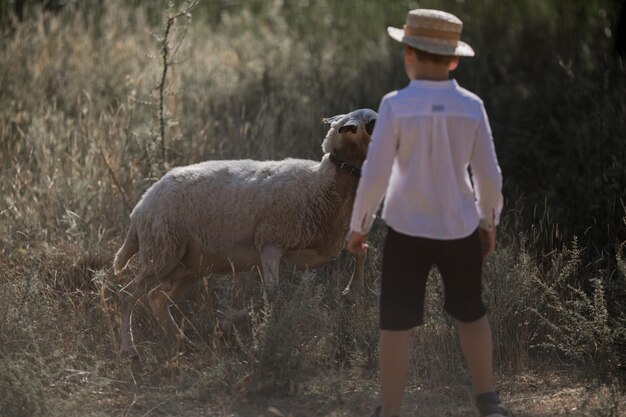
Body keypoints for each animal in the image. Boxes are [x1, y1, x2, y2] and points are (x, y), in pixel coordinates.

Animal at [112, 107, 376, 352]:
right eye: (373, 123)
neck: (322, 184)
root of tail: (140, 207)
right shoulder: (270, 244)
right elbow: (271, 294)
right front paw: (233, 324)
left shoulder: (321, 249)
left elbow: (362, 252)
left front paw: (352, 292)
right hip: (162, 253)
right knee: (127, 295)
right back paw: (129, 347)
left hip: (188, 265)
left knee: (156, 298)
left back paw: (182, 341)